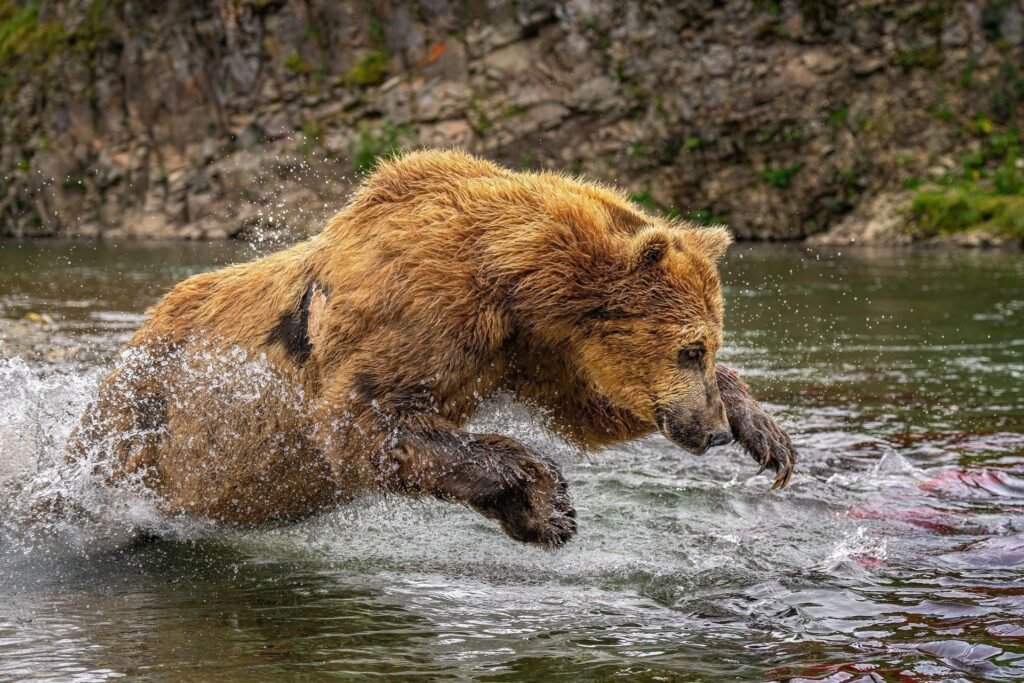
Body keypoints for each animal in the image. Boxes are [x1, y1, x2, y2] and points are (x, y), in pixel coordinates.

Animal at [70, 149, 796, 547]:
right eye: (689, 348)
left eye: (708, 344)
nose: (710, 432)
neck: (512, 284)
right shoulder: (414, 312)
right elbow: (369, 423)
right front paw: (549, 499)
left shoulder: (534, 354)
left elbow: (592, 411)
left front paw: (766, 434)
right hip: (143, 414)